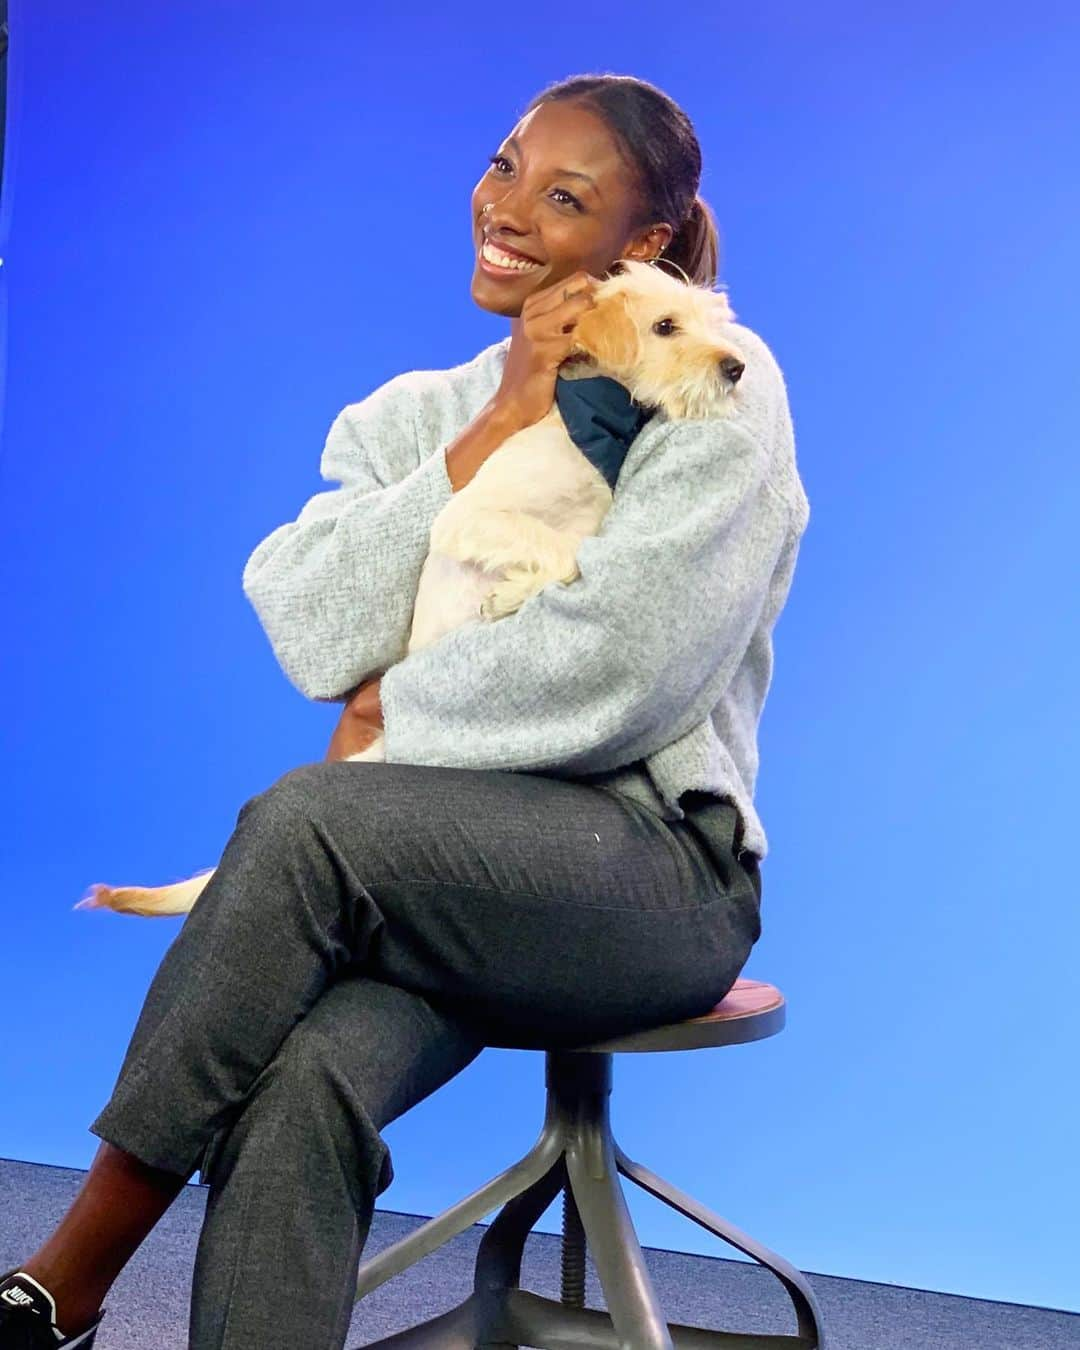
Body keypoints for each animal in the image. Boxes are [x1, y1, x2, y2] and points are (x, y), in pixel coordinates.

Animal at [75, 255, 745, 918]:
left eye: (712, 322)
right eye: (665, 326)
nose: (737, 368)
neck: (588, 421)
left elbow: (570, 554)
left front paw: (511, 593)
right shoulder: (469, 517)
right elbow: (559, 550)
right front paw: (507, 594)